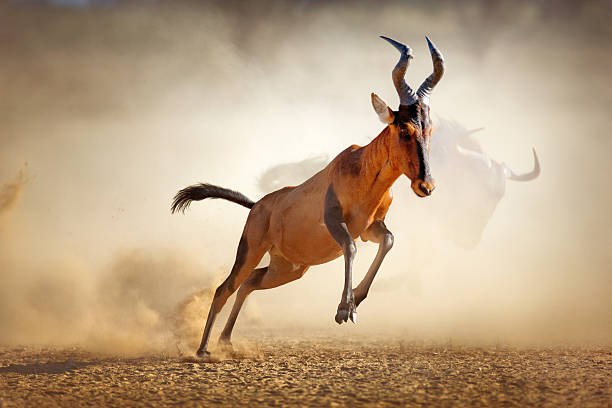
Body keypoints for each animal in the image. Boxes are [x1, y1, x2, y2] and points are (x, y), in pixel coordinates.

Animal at [171, 37, 444, 356]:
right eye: (403, 127)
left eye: (429, 128)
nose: (426, 185)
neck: (360, 167)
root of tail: (257, 205)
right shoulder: (335, 222)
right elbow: (350, 248)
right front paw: (345, 309)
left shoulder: (371, 229)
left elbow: (388, 240)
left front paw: (355, 299)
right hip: (251, 249)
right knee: (225, 287)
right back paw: (203, 350)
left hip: (289, 269)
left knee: (250, 282)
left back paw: (225, 341)